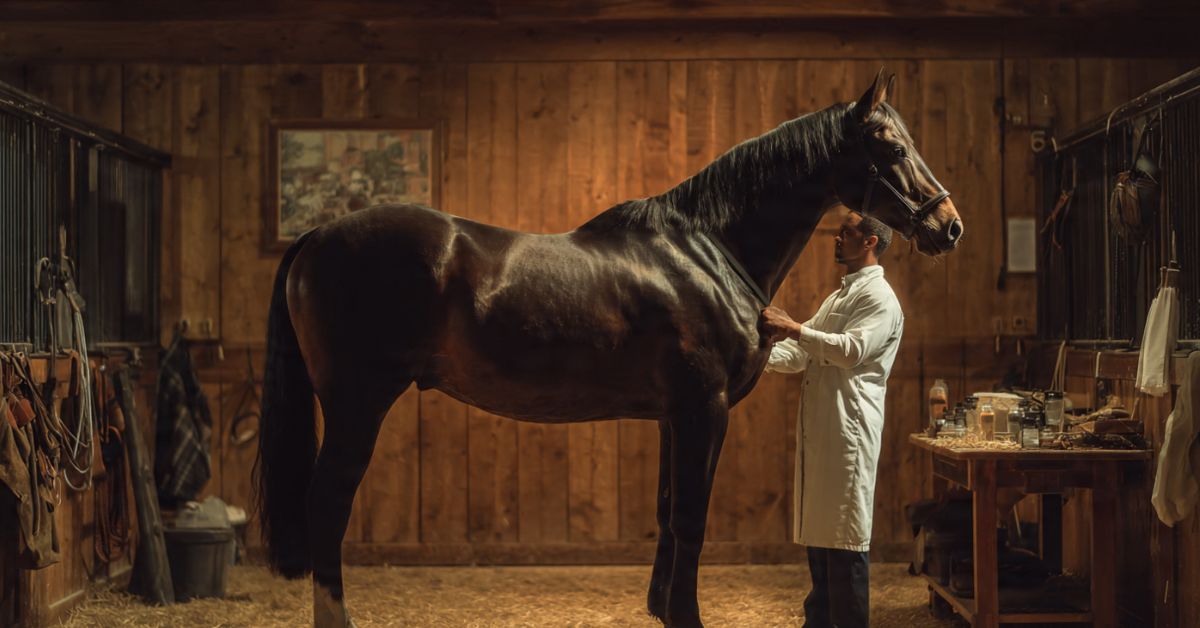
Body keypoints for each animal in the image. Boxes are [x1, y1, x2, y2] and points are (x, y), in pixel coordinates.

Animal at [255, 69, 963, 628]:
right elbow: (691, 519)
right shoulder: (704, 410)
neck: (707, 250)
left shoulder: (675, 417)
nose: (948, 225)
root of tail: (316, 235)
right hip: (357, 406)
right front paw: (687, 617)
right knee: (328, 505)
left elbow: (668, 511)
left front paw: (662, 610)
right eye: (892, 146)